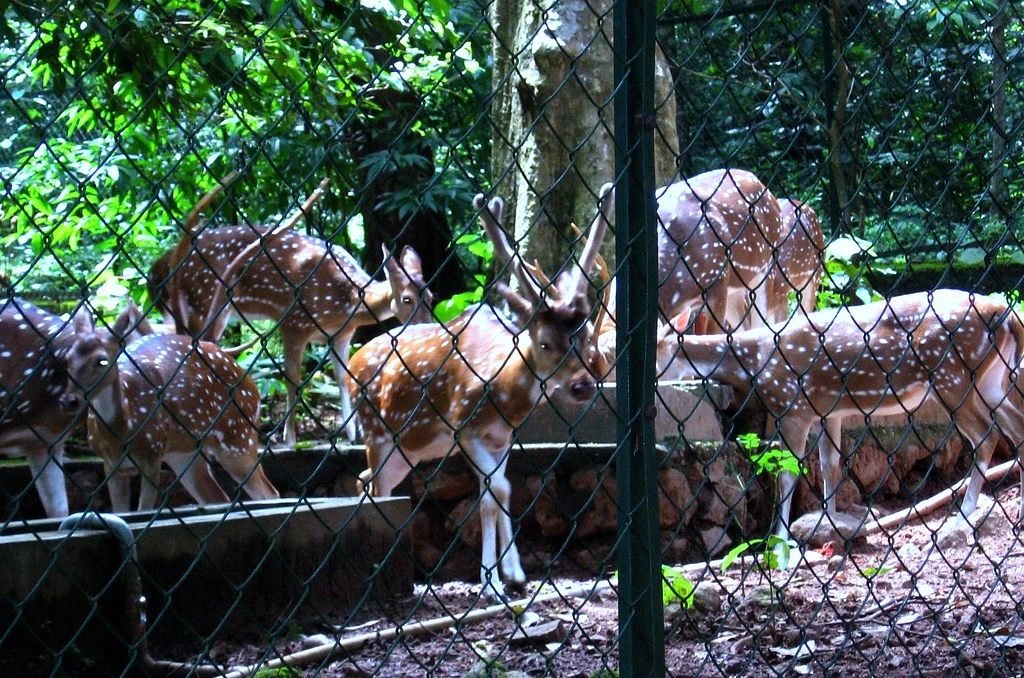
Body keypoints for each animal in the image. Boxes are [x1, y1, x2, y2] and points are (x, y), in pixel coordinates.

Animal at [58, 305, 280, 512]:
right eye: (67, 359)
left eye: (102, 360)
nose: (69, 400)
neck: (122, 431)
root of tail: (252, 385)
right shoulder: (109, 464)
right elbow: (121, 513)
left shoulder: (152, 456)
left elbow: (143, 510)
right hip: (183, 454)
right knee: (217, 498)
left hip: (239, 438)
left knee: (269, 494)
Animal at [148, 176, 435, 445]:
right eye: (407, 299)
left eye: (432, 297)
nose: (427, 326)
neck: (347, 301)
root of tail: (157, 271)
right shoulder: (294, 322)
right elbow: (293, 380)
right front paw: (289, 439)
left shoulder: (341, 336)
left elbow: (343, 378)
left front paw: (354, 435)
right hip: (205, 300)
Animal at [347, 192, 609, 600]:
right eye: (545, 343)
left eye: (584, 339)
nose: (584, 385)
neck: (504, 395)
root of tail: (350, 362)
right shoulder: (463, 425)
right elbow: (497, 489)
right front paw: (495, 581)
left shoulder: (502, 437)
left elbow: (496, 493)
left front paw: (509, 575)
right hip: (377, 433)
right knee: (377, 487)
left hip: (409, 451)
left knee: (364, 479)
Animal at [658, 289, 1024, 550]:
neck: (754, 361)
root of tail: (1004, 312)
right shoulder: (828, 411)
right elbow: (830, 465)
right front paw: (829, 523)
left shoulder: (792, 405)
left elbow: (788, 474)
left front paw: (780, 543)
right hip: (993, 381)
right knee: (1016, 429)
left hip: (953, 378)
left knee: (987, 436)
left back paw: (963, 517)